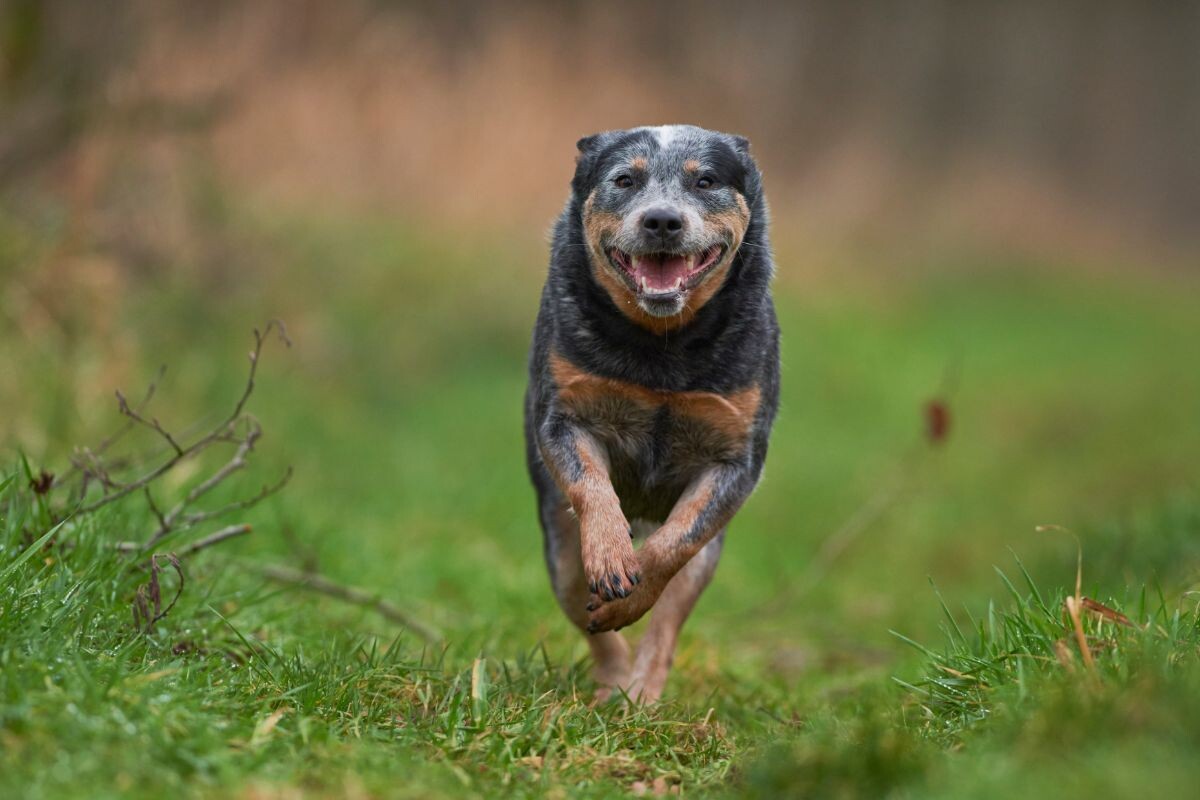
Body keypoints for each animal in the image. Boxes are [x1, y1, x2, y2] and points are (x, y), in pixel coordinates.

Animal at [523, 123, 782, 700]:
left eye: (705, 180)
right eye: (624, 179)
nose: (662, 219)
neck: (661, 347)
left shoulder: (736, 458)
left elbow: (671, 547)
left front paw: (629, 594)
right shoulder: (563, 418)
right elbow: (592, 487)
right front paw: (612, 558)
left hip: (706, 557)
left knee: (668, 615)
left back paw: (641, 694)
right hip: (558, 545)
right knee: (583, 611)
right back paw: (612, 684)